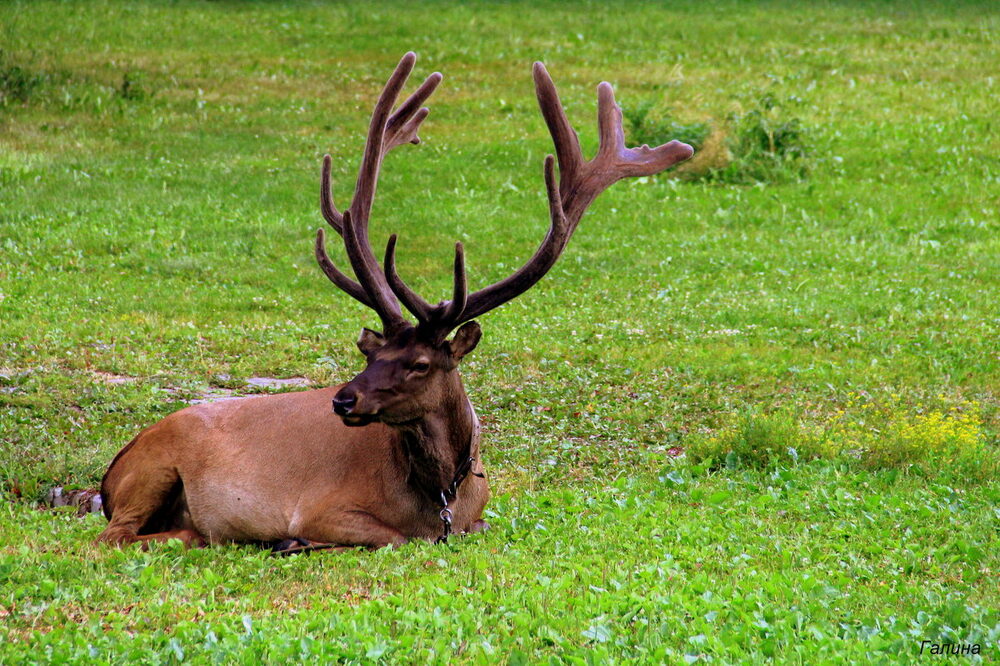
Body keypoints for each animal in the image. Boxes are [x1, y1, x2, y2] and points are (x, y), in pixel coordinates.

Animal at [97, 52, 692, 548]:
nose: (343, 400)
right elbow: (394, 538)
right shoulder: (323, 507)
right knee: (117, 538)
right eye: (371, 354)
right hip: (152, 471)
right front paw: (295, 541)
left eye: (421, 363)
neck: (443, 501)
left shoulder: (480, 516)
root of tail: (110, 472)